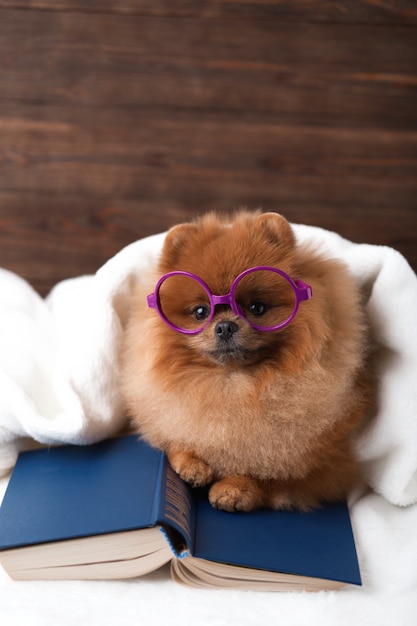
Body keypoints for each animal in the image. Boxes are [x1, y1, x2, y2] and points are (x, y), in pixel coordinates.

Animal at [121, 212, 374, 510]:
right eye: (200, 312)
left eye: (257, 307)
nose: (225, 326)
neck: (234, 385)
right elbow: (177, 439)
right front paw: (191, 462)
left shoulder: (328, 466)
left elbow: (272, 475)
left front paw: (236, 488)